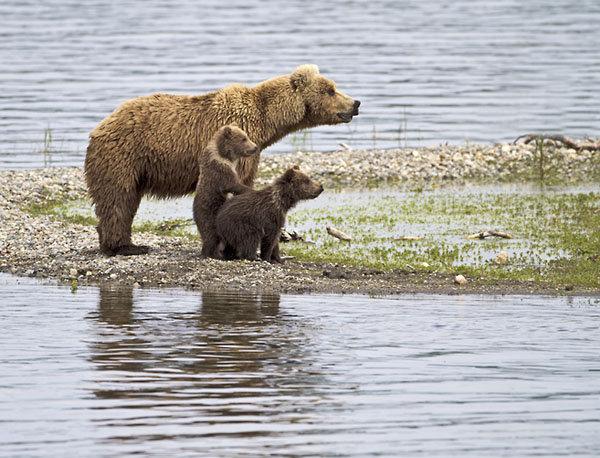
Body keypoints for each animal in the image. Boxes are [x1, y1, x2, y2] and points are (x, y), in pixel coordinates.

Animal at [84, 65, 360, 256]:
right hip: (123, 156)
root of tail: (99, 126)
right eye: (331, 90)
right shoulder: (240, 144)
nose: (356, 102)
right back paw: (123, 247)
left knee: (125, 200)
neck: (266, 122)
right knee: (118, 198)